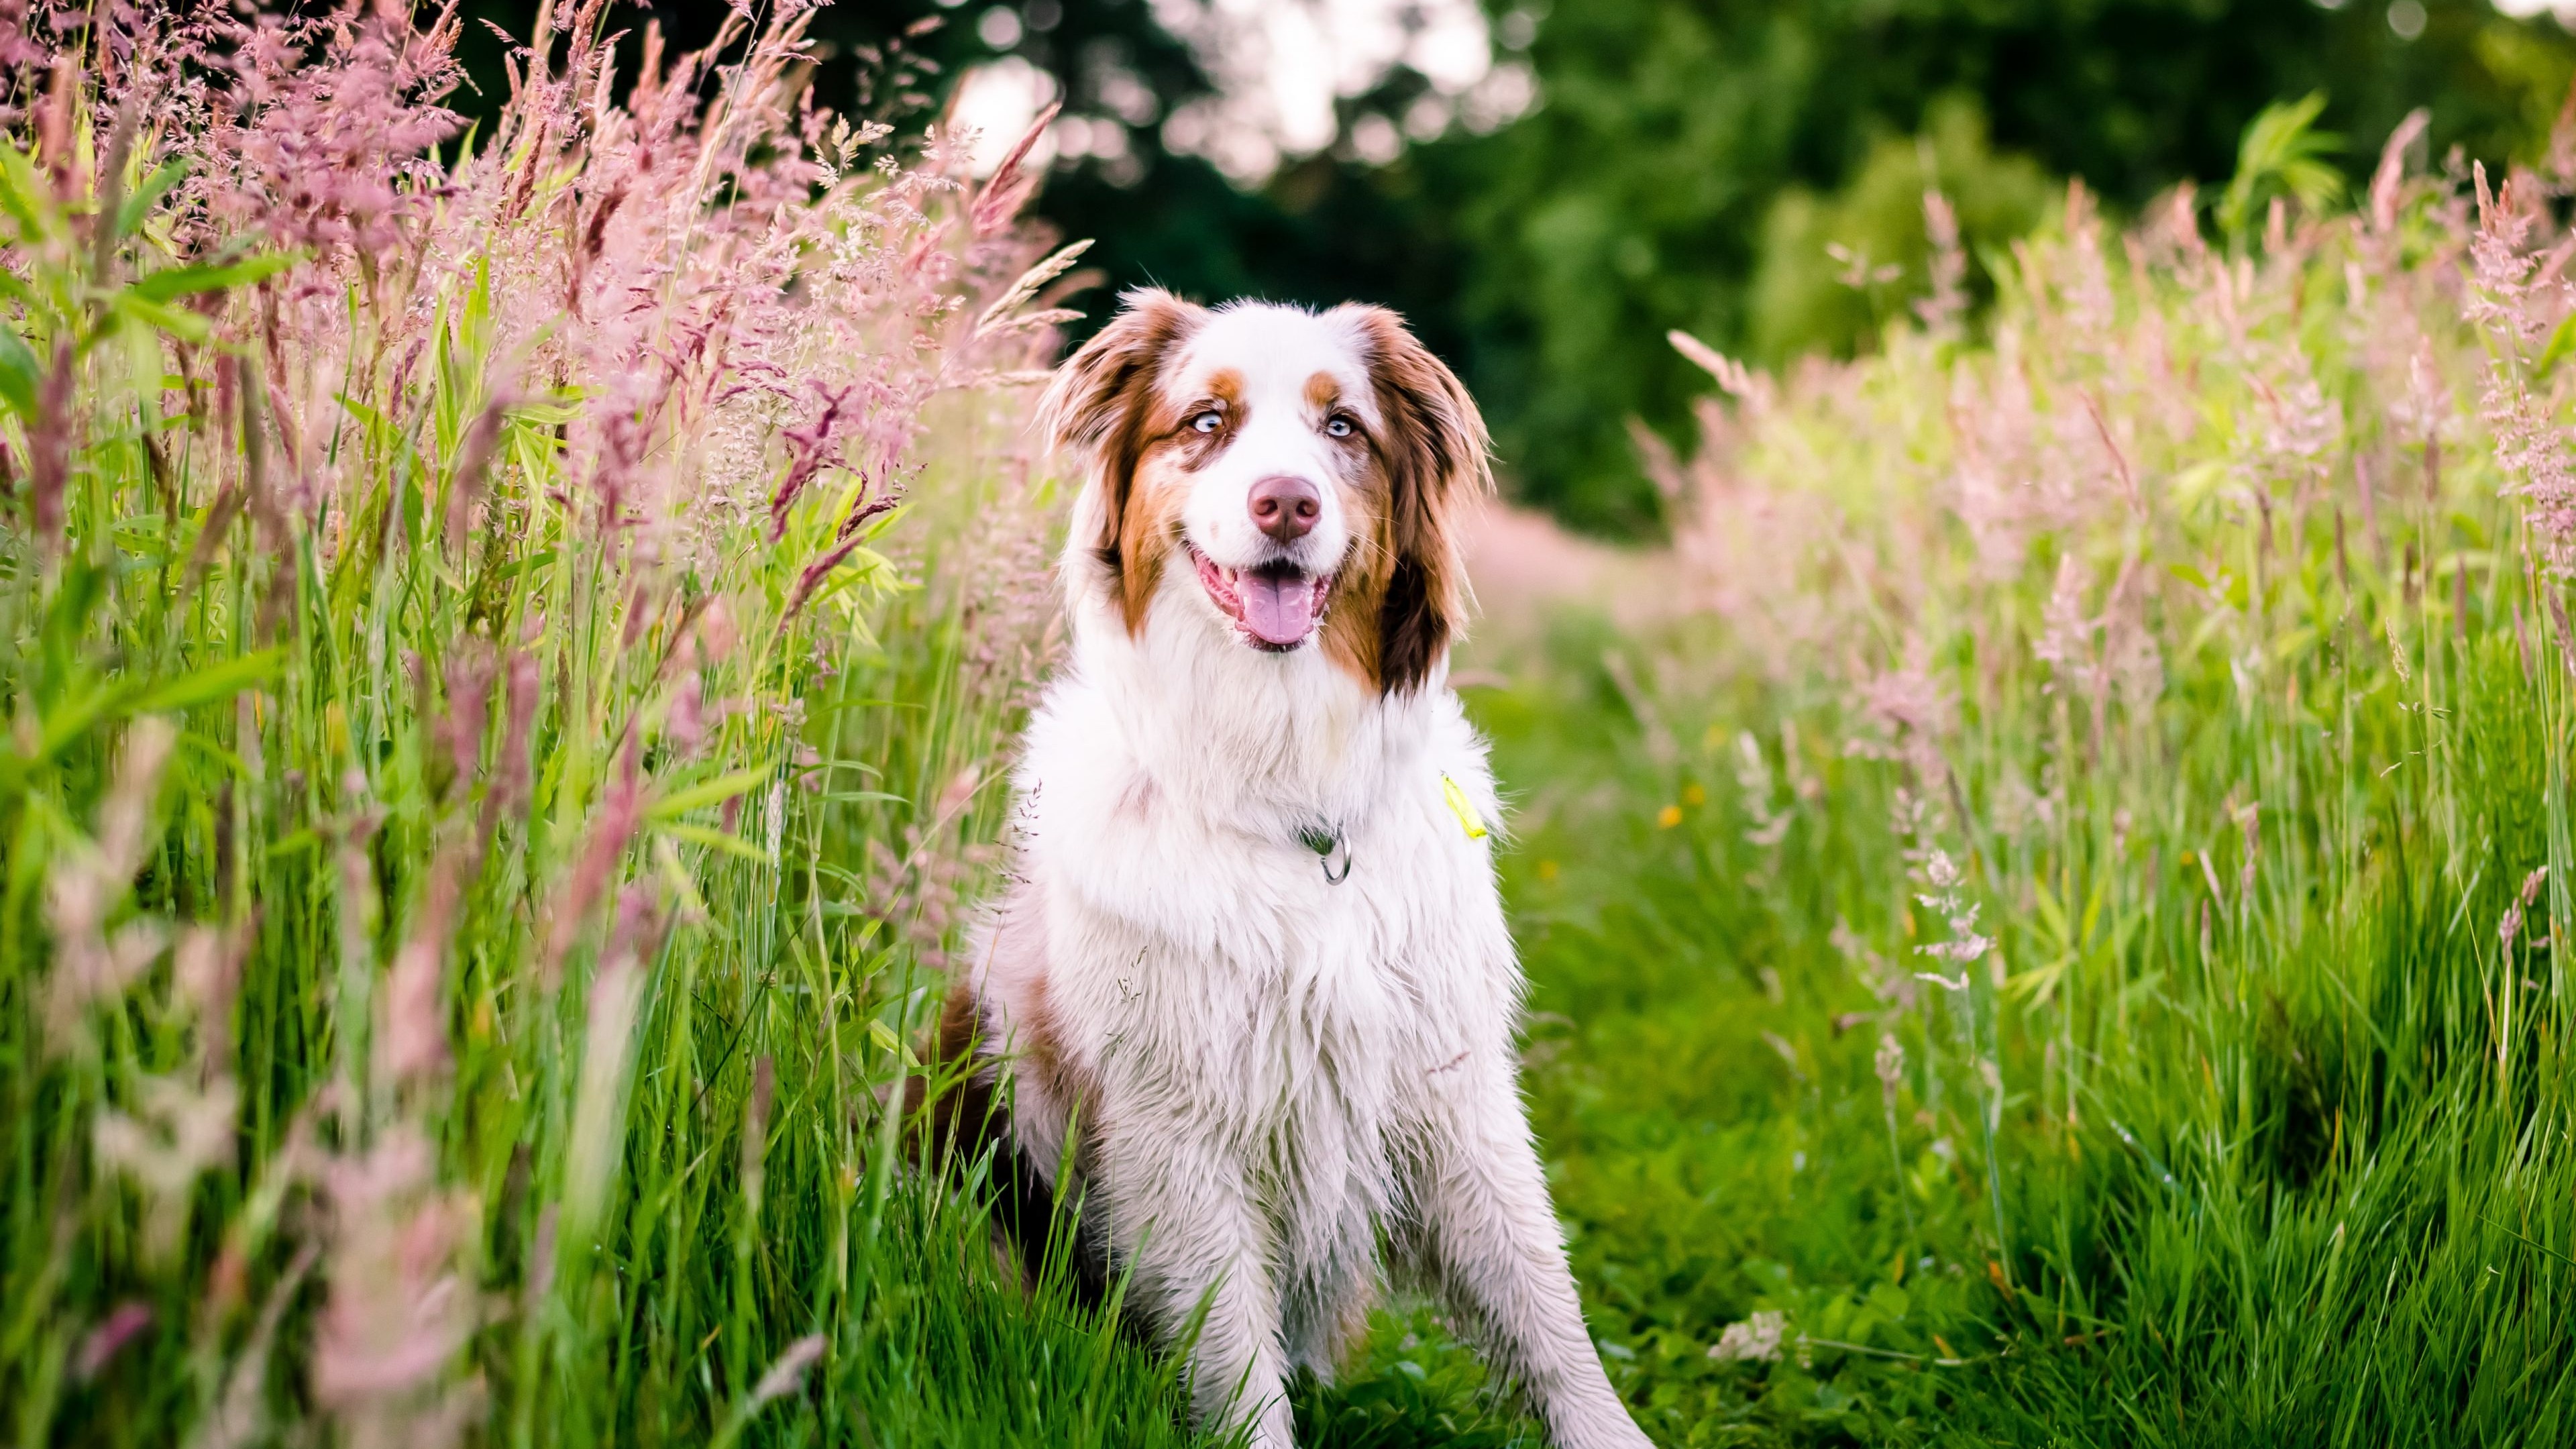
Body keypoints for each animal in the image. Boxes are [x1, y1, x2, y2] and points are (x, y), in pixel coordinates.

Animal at [932, 290, 1648, 1444]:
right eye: (1206, 422)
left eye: (1342, 426)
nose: (1286, 504)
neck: (1291, 804)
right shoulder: (1177, 1136)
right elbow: (1235, 1364)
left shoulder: (1453, 1087)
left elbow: (1546, 1306)